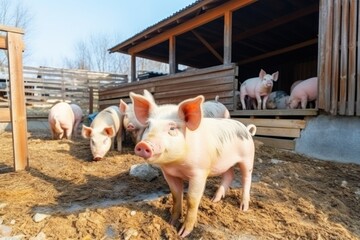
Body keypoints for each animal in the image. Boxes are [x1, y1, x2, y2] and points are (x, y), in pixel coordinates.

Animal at [129, 92, 256, 238]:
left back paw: (243, 207)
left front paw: (182, 233)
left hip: (248, 157)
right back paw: (214, 200)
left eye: (172, 128)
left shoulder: (199, 173)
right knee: (229, 175)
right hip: (225, 162)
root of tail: (246, 129)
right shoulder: (168, 174)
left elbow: (191, 200)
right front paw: (171, 222)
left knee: (246, 179)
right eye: (148, 126)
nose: (143, 145)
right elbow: (176, 195)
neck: (176, 164)